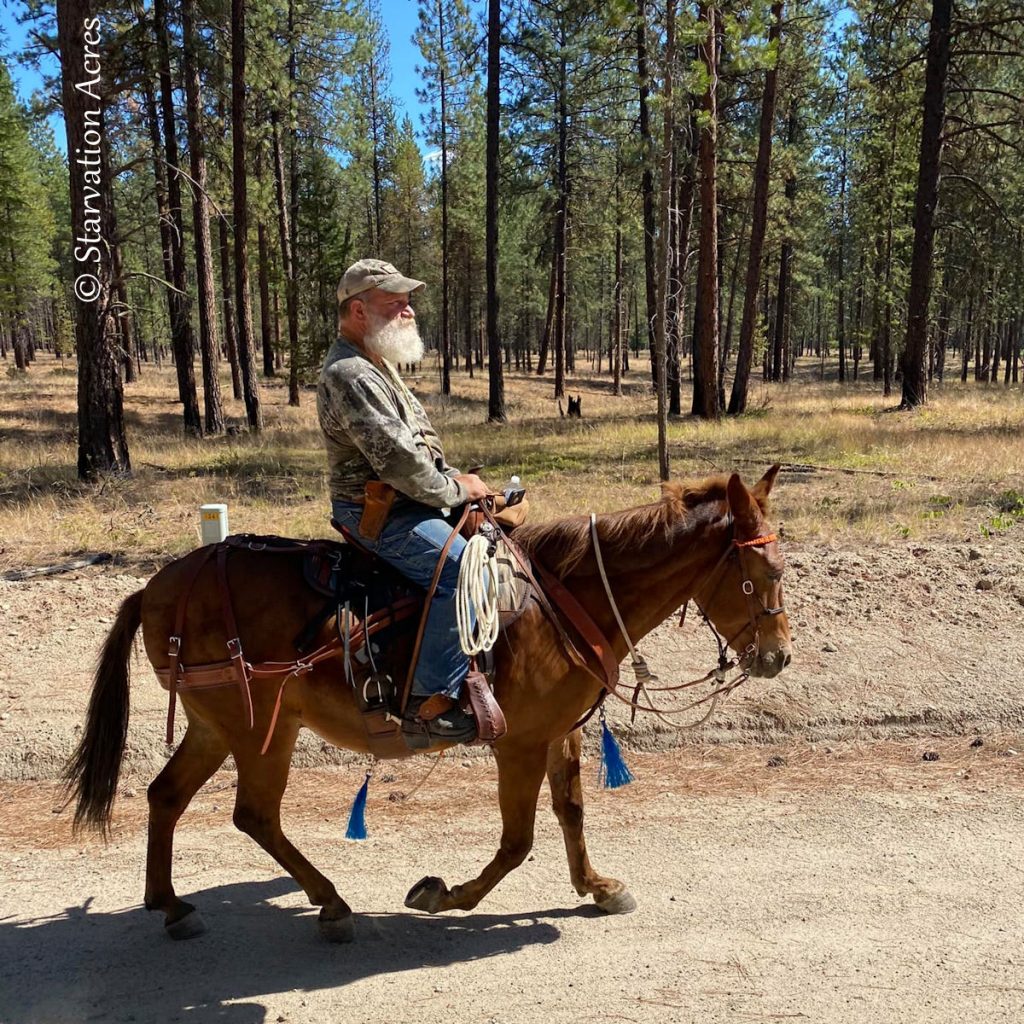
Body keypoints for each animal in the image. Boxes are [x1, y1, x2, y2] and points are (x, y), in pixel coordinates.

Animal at [66, 468, 790, 937]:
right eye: (763, 572)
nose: (778, 656)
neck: (563, 597)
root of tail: (155, 588)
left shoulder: (560, 732)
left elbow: (572, 813)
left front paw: (597, 887)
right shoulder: (519, 743)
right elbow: (518, 841)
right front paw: (445, 895)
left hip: (214, 726)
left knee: (166, 796)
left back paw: (170, 904)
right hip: (258, 729)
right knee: (254, 815)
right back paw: (330, 904)